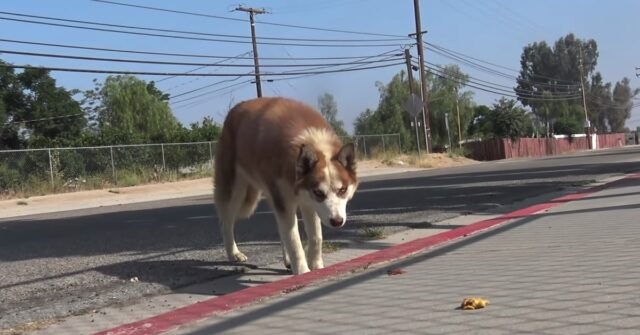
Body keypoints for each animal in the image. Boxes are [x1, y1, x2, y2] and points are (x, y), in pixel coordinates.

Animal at [214, 97, 356, 276]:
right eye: (319, 192)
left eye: (342, 190)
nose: (337, 221)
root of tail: (235, 109)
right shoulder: (287, 200)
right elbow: (294, 240)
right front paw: (303, 271)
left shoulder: (307, 201)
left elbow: (316, 236)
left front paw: (316, 266)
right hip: (235, 190)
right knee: (225, 222)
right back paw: (233, 253)